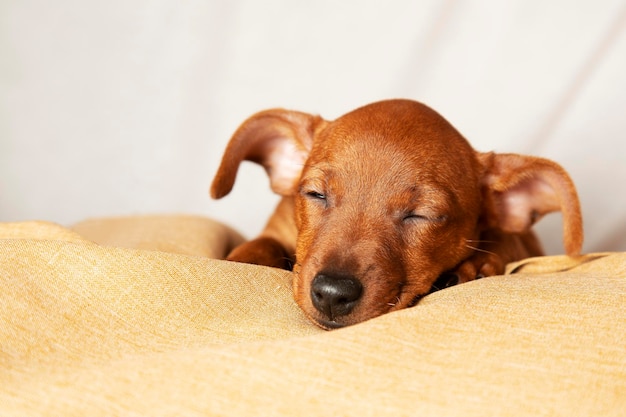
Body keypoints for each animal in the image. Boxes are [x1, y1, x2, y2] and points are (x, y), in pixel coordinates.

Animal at [210, 98, 580, 328]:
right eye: (316, 195)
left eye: (421, 215)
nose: (332, 293)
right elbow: (260, 244)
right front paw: (245, 257)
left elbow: (502, 243)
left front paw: (476, 265)